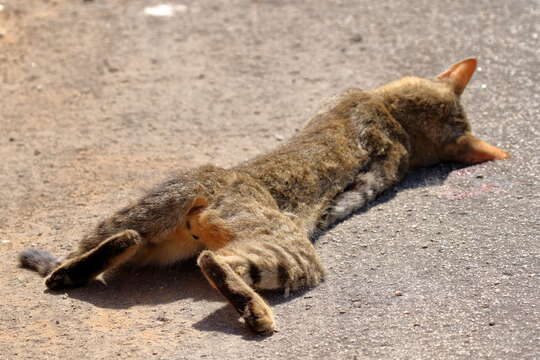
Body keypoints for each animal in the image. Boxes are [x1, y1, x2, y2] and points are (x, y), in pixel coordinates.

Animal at [20, 57, 510, 334]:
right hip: (294, 255)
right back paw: (257, 315)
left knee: (92, 252)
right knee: (215, 262)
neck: (391, 109)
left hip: (141, 226)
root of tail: (210, 182)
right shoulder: (384, 149)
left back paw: (74, 272)